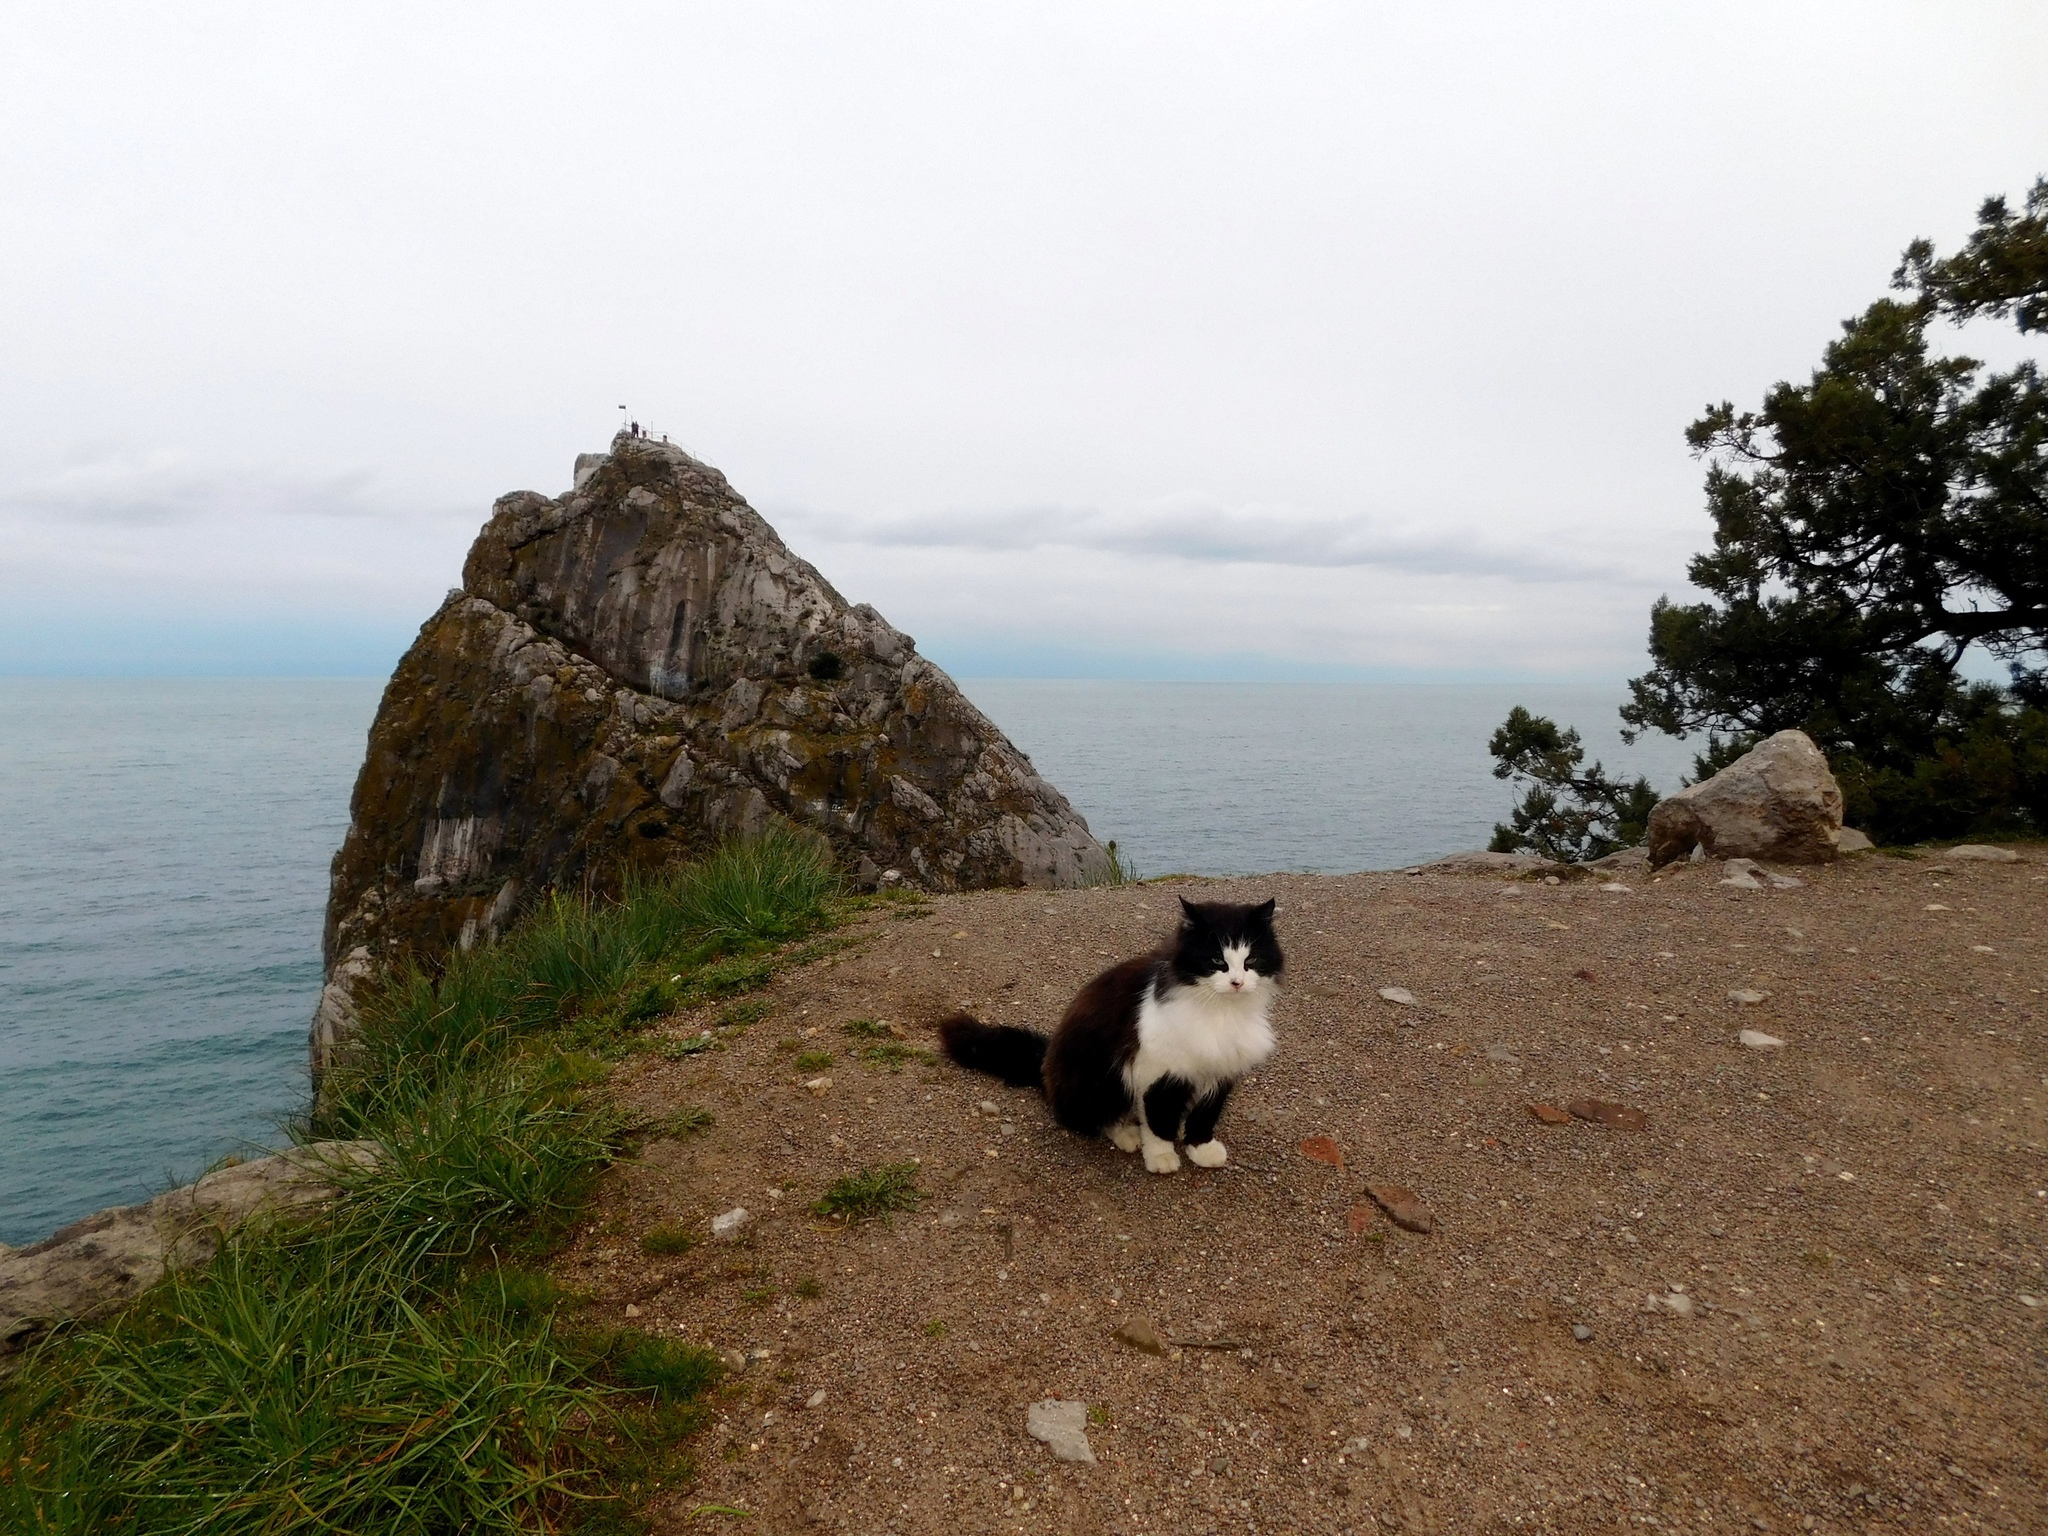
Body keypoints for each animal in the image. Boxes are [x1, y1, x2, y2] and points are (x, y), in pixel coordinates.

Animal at [937, 901, 1277, 1179]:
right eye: (1217, 960)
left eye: (1251, 960)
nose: (1237, 982)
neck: (1220, 1012)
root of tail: (1046, 1066)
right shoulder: (1156, 1073)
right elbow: (1158, 1121)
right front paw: (1161, 1156)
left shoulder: (1219, 1072)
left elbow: (1205, 1117)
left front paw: (1201, 1148)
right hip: (1101, 1078)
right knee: (1095, 1117)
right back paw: (1127, 1134)